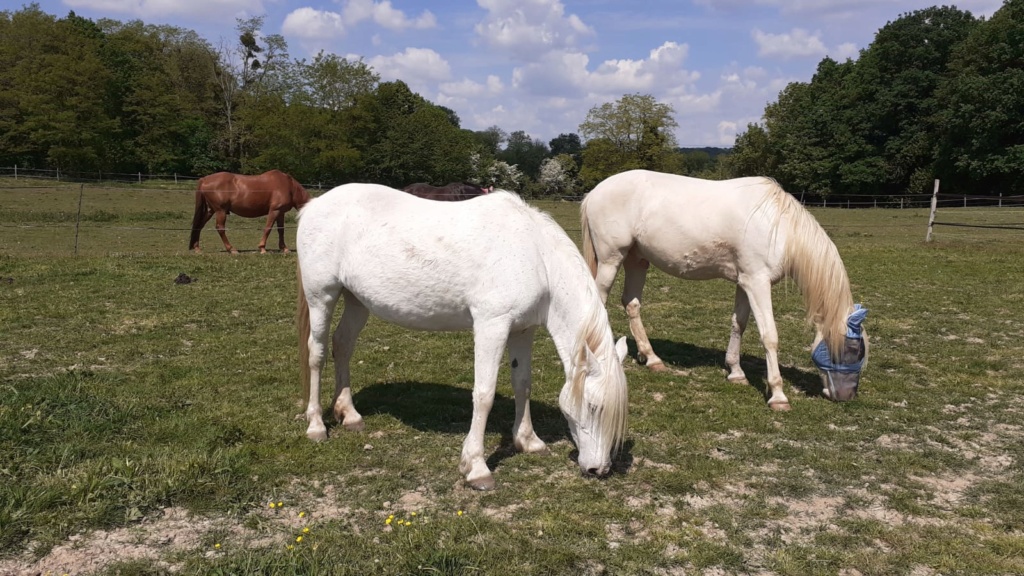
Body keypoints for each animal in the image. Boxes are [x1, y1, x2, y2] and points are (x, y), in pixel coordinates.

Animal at [296, 183, 626, 487]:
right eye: (593, 406)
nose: (599, 469)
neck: (536, 255)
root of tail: (313, 206)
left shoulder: (522, 330)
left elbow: (522, 383)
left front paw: (528, 441)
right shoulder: (491, 325)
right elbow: (484, 395)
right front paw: (476, 467)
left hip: (356, 300)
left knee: (343, 344)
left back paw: (349, 414)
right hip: (322, 296)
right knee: (317, 353)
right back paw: (316, 426)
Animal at [581, 168, 868, 409]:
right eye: (853, 350)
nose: (847, 396)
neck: (778, 226)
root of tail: (593, 193)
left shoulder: (745, 282)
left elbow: (738, 324)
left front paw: (736, 372)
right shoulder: (757, 283)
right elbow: (769, 335)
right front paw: (778, 395)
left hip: (636, 260)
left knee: (631, 303)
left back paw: (652, 358)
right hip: (611, 260)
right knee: (598, 302)